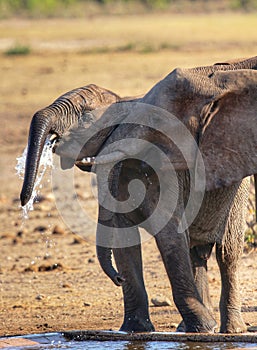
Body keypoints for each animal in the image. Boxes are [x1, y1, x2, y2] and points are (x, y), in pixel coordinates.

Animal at [20, 55, 256, 334]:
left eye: (84, 111)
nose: (117, 279)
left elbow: (169, 231)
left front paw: (202, 327)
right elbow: (124, 234)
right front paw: (135, 330)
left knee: (227, 252)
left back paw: (230, 331)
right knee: (196, 251)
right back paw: (188, 329)